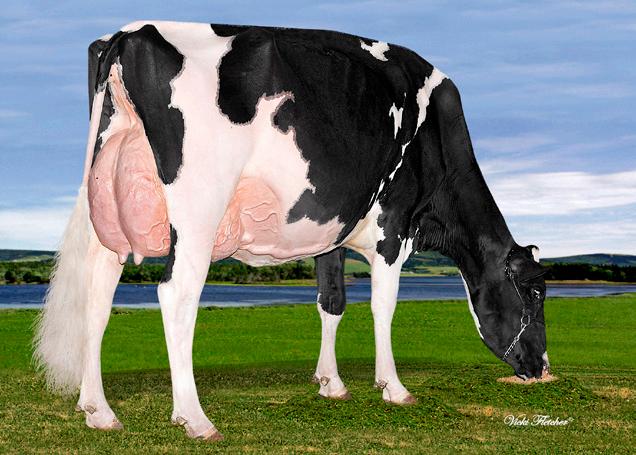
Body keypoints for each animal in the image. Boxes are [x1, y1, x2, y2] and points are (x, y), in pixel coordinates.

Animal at [34, 21, 549, 441]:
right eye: (534, 292)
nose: (542, 368)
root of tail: (129, 33)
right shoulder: (393, 227)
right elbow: (383, 307)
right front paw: (394, 387)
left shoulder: (332, 234)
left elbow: (332, 302)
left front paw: (331, 383)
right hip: (199, 207)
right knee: (175, 295)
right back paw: (195, 419)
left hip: (106, 212)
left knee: (96, 299)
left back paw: (98, 411)